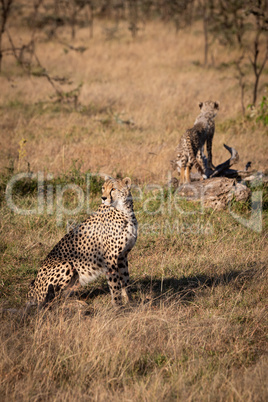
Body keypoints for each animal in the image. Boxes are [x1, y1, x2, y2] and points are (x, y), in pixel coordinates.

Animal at [27, 177, 138, 308]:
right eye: (103, 188)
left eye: (113, 189)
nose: (103, 197)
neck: (124, 210)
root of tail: (32, 289)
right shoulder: (110, 258)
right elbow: (115, 285)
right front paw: (118, 306)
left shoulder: (122, 256)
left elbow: (125, 281)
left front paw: (130, 302)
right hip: (67, 265)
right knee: (52, 301)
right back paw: (77, 304)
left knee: (61, 297)